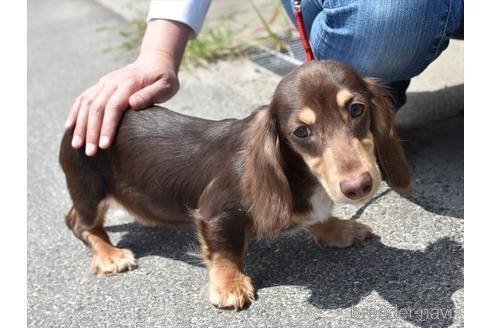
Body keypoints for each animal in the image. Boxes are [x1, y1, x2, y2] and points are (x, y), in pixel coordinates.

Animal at [59, 59, 410, 310]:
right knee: (80, 223)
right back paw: (109, 255)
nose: (358, 186)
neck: (302, 175)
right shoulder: (215, 213)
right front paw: (229, 285)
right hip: (89, 186)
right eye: (301, 132)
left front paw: (339, 228)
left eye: (356, 109)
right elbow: (225, 250)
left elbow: (316, 217)